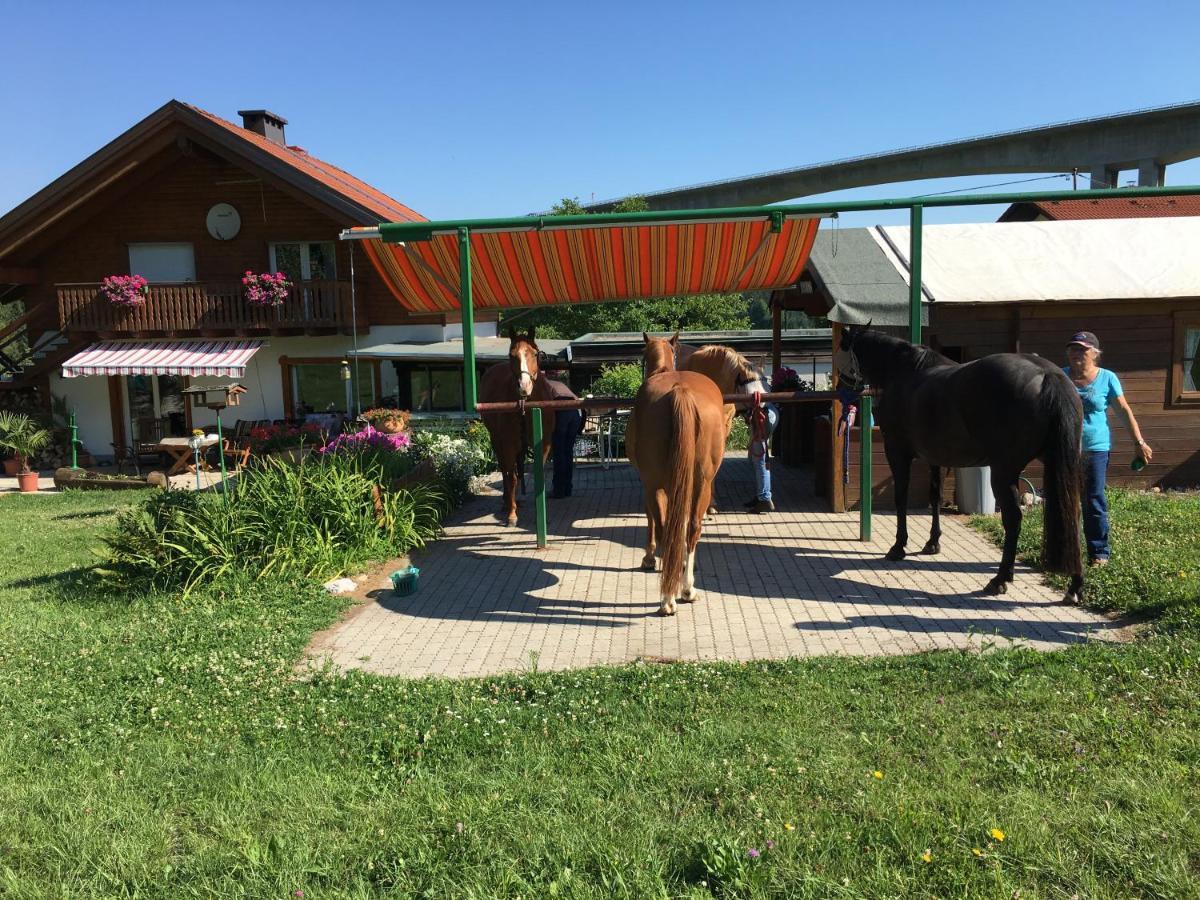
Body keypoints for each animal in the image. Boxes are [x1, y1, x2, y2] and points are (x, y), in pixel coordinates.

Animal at [477, 328, 552, 528]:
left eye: (534, 353)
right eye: (512, 355)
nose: (524, 386)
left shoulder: (543, 444)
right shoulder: (508, 444)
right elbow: (511, 477)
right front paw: (512, 515)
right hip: (497, 441)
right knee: (506, 470)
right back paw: (508, 502)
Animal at [628, 336, 720, 619]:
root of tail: (680, 390)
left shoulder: (649, 484)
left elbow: (653, 521)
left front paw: (649, 558)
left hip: (657, 485)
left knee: (665, 528)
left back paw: (669, 598)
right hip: (701, 483)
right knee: (692, 527)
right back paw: (686, 589)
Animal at [835, 326, 1089, 607]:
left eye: (842, 350)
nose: (840, 389)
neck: (903, 371)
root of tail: (1048, 375)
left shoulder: (898, 452)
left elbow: (901, 498)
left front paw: (898, 547)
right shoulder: (934, 458)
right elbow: (935, 497)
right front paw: (932, 543)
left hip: (1003, 472)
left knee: (1013, 519)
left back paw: (1000, 579)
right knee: (1074, 514)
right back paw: (1074, 586)